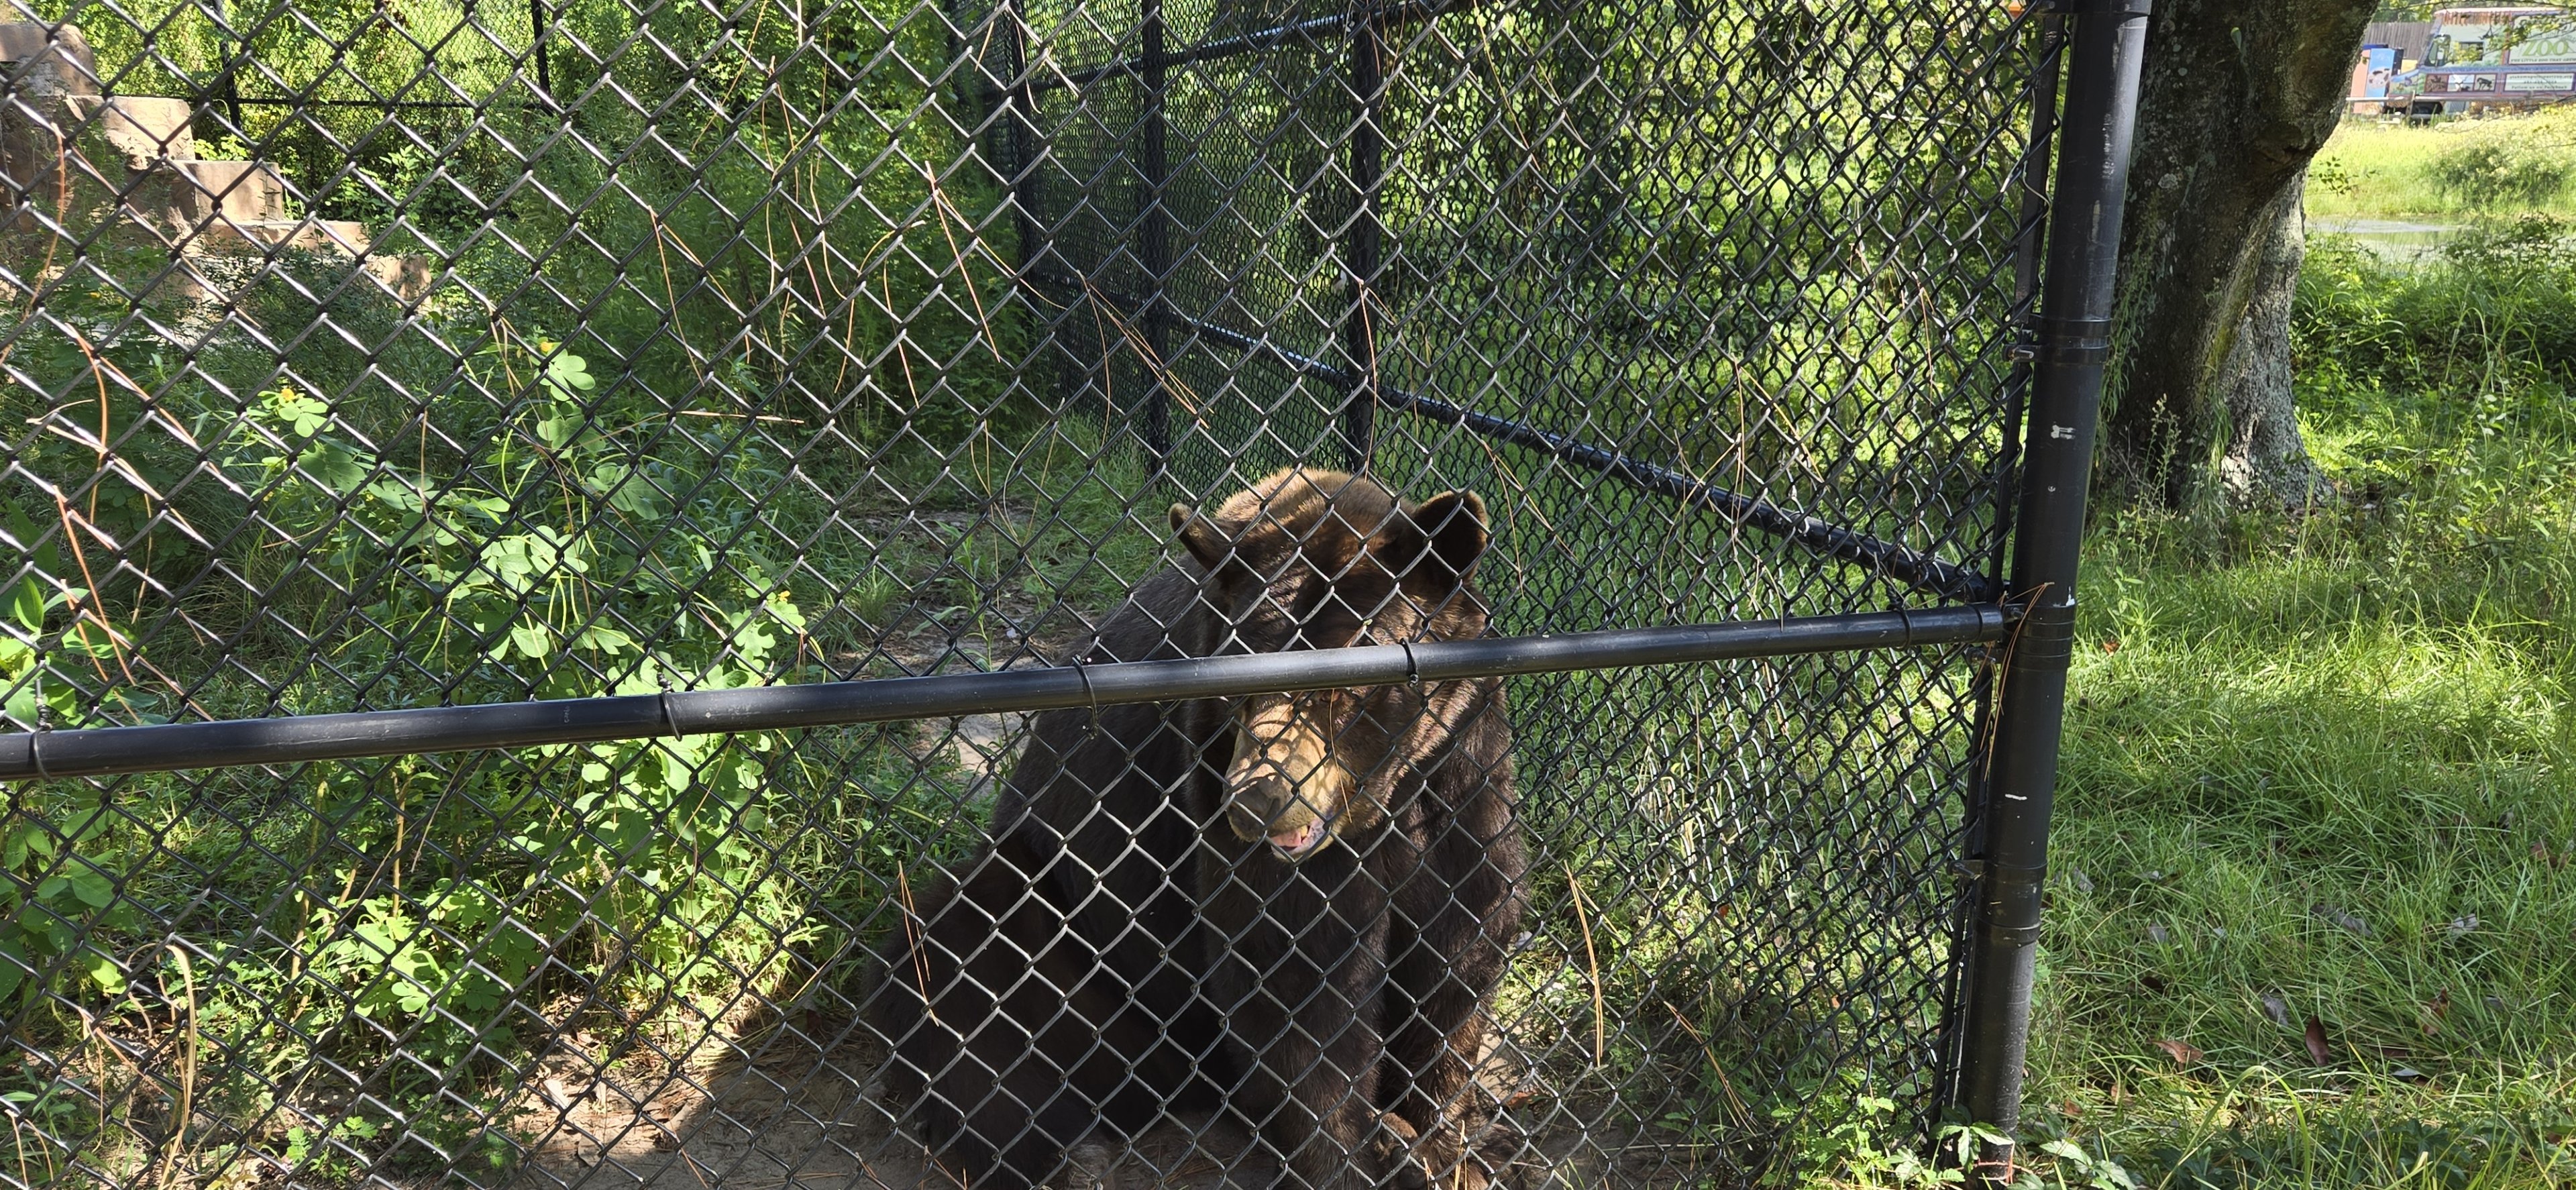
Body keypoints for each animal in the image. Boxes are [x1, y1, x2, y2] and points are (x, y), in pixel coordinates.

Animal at [866, 467, 1526, 1190]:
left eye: (1340, 690)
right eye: (1240, 684)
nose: (1255, 800)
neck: (1381, 800)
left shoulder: (1462, 775)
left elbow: (1462, 941)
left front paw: (1438, 1138)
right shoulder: (1217, 792)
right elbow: (1295, 979)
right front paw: (1359, 1155)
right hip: (1067, 925)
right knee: (963, 973)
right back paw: (1062, 1154)